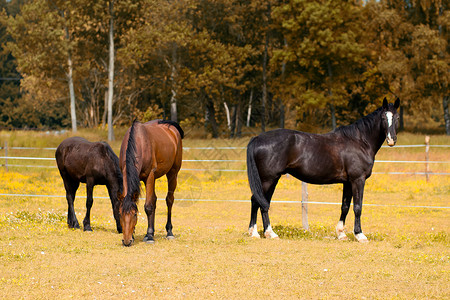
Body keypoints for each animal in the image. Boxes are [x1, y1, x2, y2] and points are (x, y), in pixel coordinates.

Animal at [246, 97, 400, 243]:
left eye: (397, 117)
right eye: (383, 118)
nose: (391, 139)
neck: (360, 141)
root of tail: (257, 138)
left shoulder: (348, 182)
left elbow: (345, 206)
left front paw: (341, 234)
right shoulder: (358, 180)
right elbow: (357, 207)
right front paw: (360, 235)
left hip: (271, 179)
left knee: (261, 201)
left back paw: (260, 233)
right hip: (268, 179)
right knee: (258, 201)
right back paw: (264, 233)